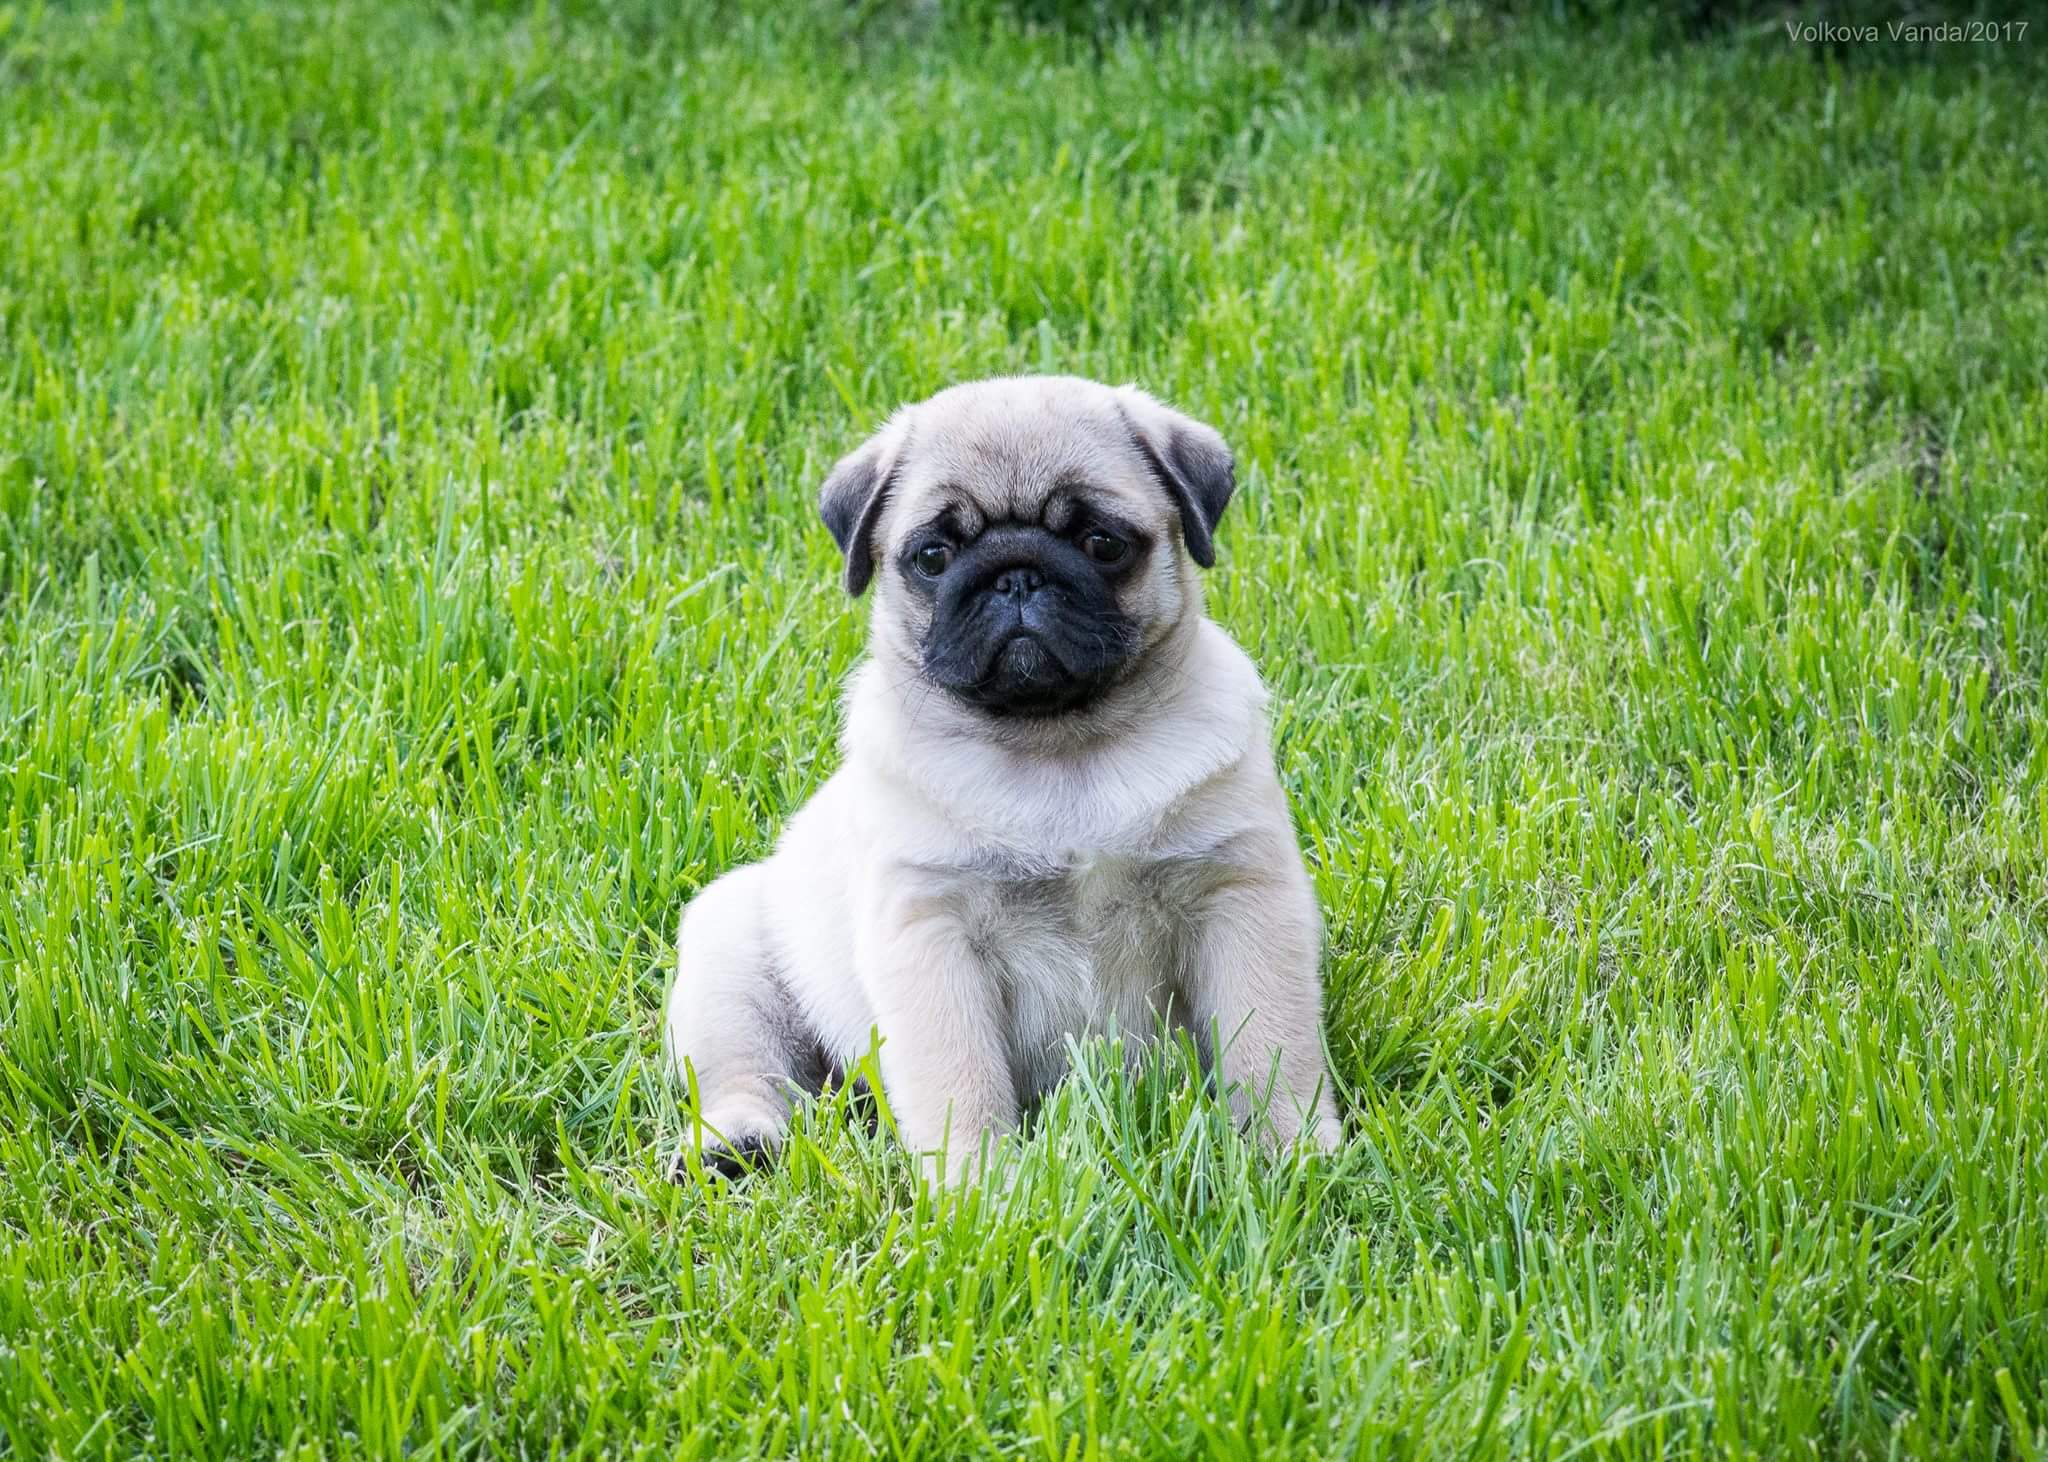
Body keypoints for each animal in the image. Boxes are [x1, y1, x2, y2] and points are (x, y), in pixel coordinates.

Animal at [671, 370, 1343, 1179]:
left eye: (1102, 543)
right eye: (932, 556)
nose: (1015, 576)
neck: (1059, 746)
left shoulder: (1242, 899)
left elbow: (1270, 1042)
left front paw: (1292, 1150)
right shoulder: (931, 937)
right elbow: (960, 1079)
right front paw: (978, 1186)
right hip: (730, 954)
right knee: (746, 1067)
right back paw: (734, 1143)